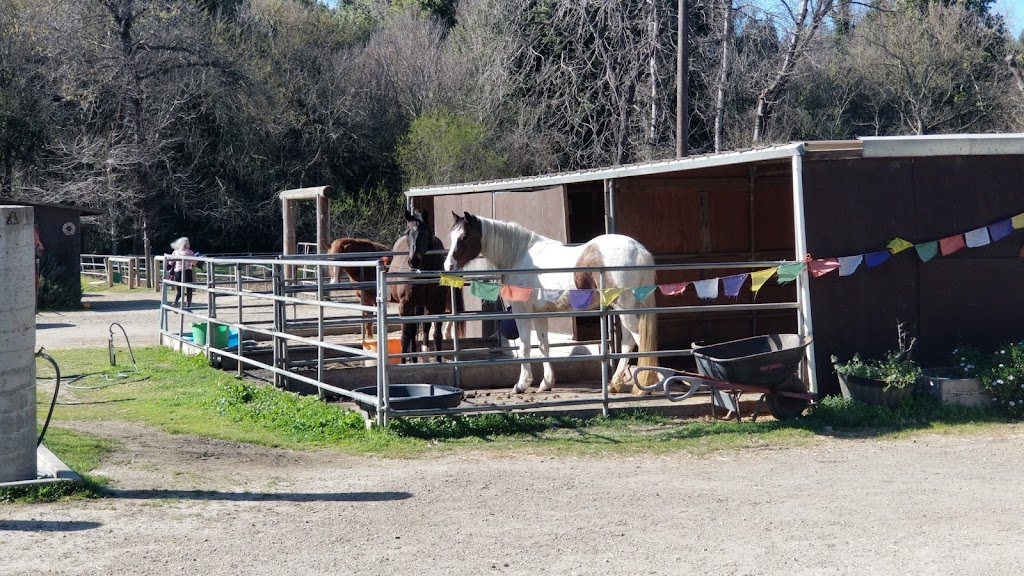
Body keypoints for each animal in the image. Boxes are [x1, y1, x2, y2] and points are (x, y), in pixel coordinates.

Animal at [444, 211, 659, 393]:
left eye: (464, 237)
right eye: (452, 237)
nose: (448, 266)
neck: (519, 255)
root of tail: (639, 251)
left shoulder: (522, 312)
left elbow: (524, 346)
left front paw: (521, 384)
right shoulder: (540, 314)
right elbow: (543, 346)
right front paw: (546, 383)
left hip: (623, 307)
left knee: (637, 338)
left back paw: (645, 385)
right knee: (628, 341)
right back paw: (615, 384)